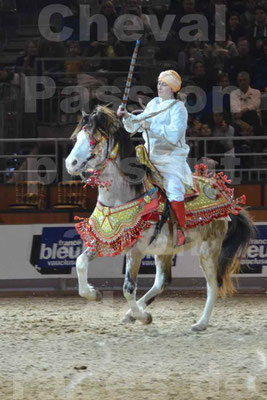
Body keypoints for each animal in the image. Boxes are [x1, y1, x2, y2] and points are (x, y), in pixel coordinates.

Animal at [66, 104, 256, 330]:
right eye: (77, 137)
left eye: (93, 140)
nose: (70, 163)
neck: (124, 195)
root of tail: (227, 199)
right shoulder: (105, 239)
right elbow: (80, 262)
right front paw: (95, 294)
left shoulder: (136, 250)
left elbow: (128, 288)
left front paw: (142, 317)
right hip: (165, 249)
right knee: (162, 282)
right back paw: (132, 314)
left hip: (208, 249)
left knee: (213, 285)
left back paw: (200, 323)